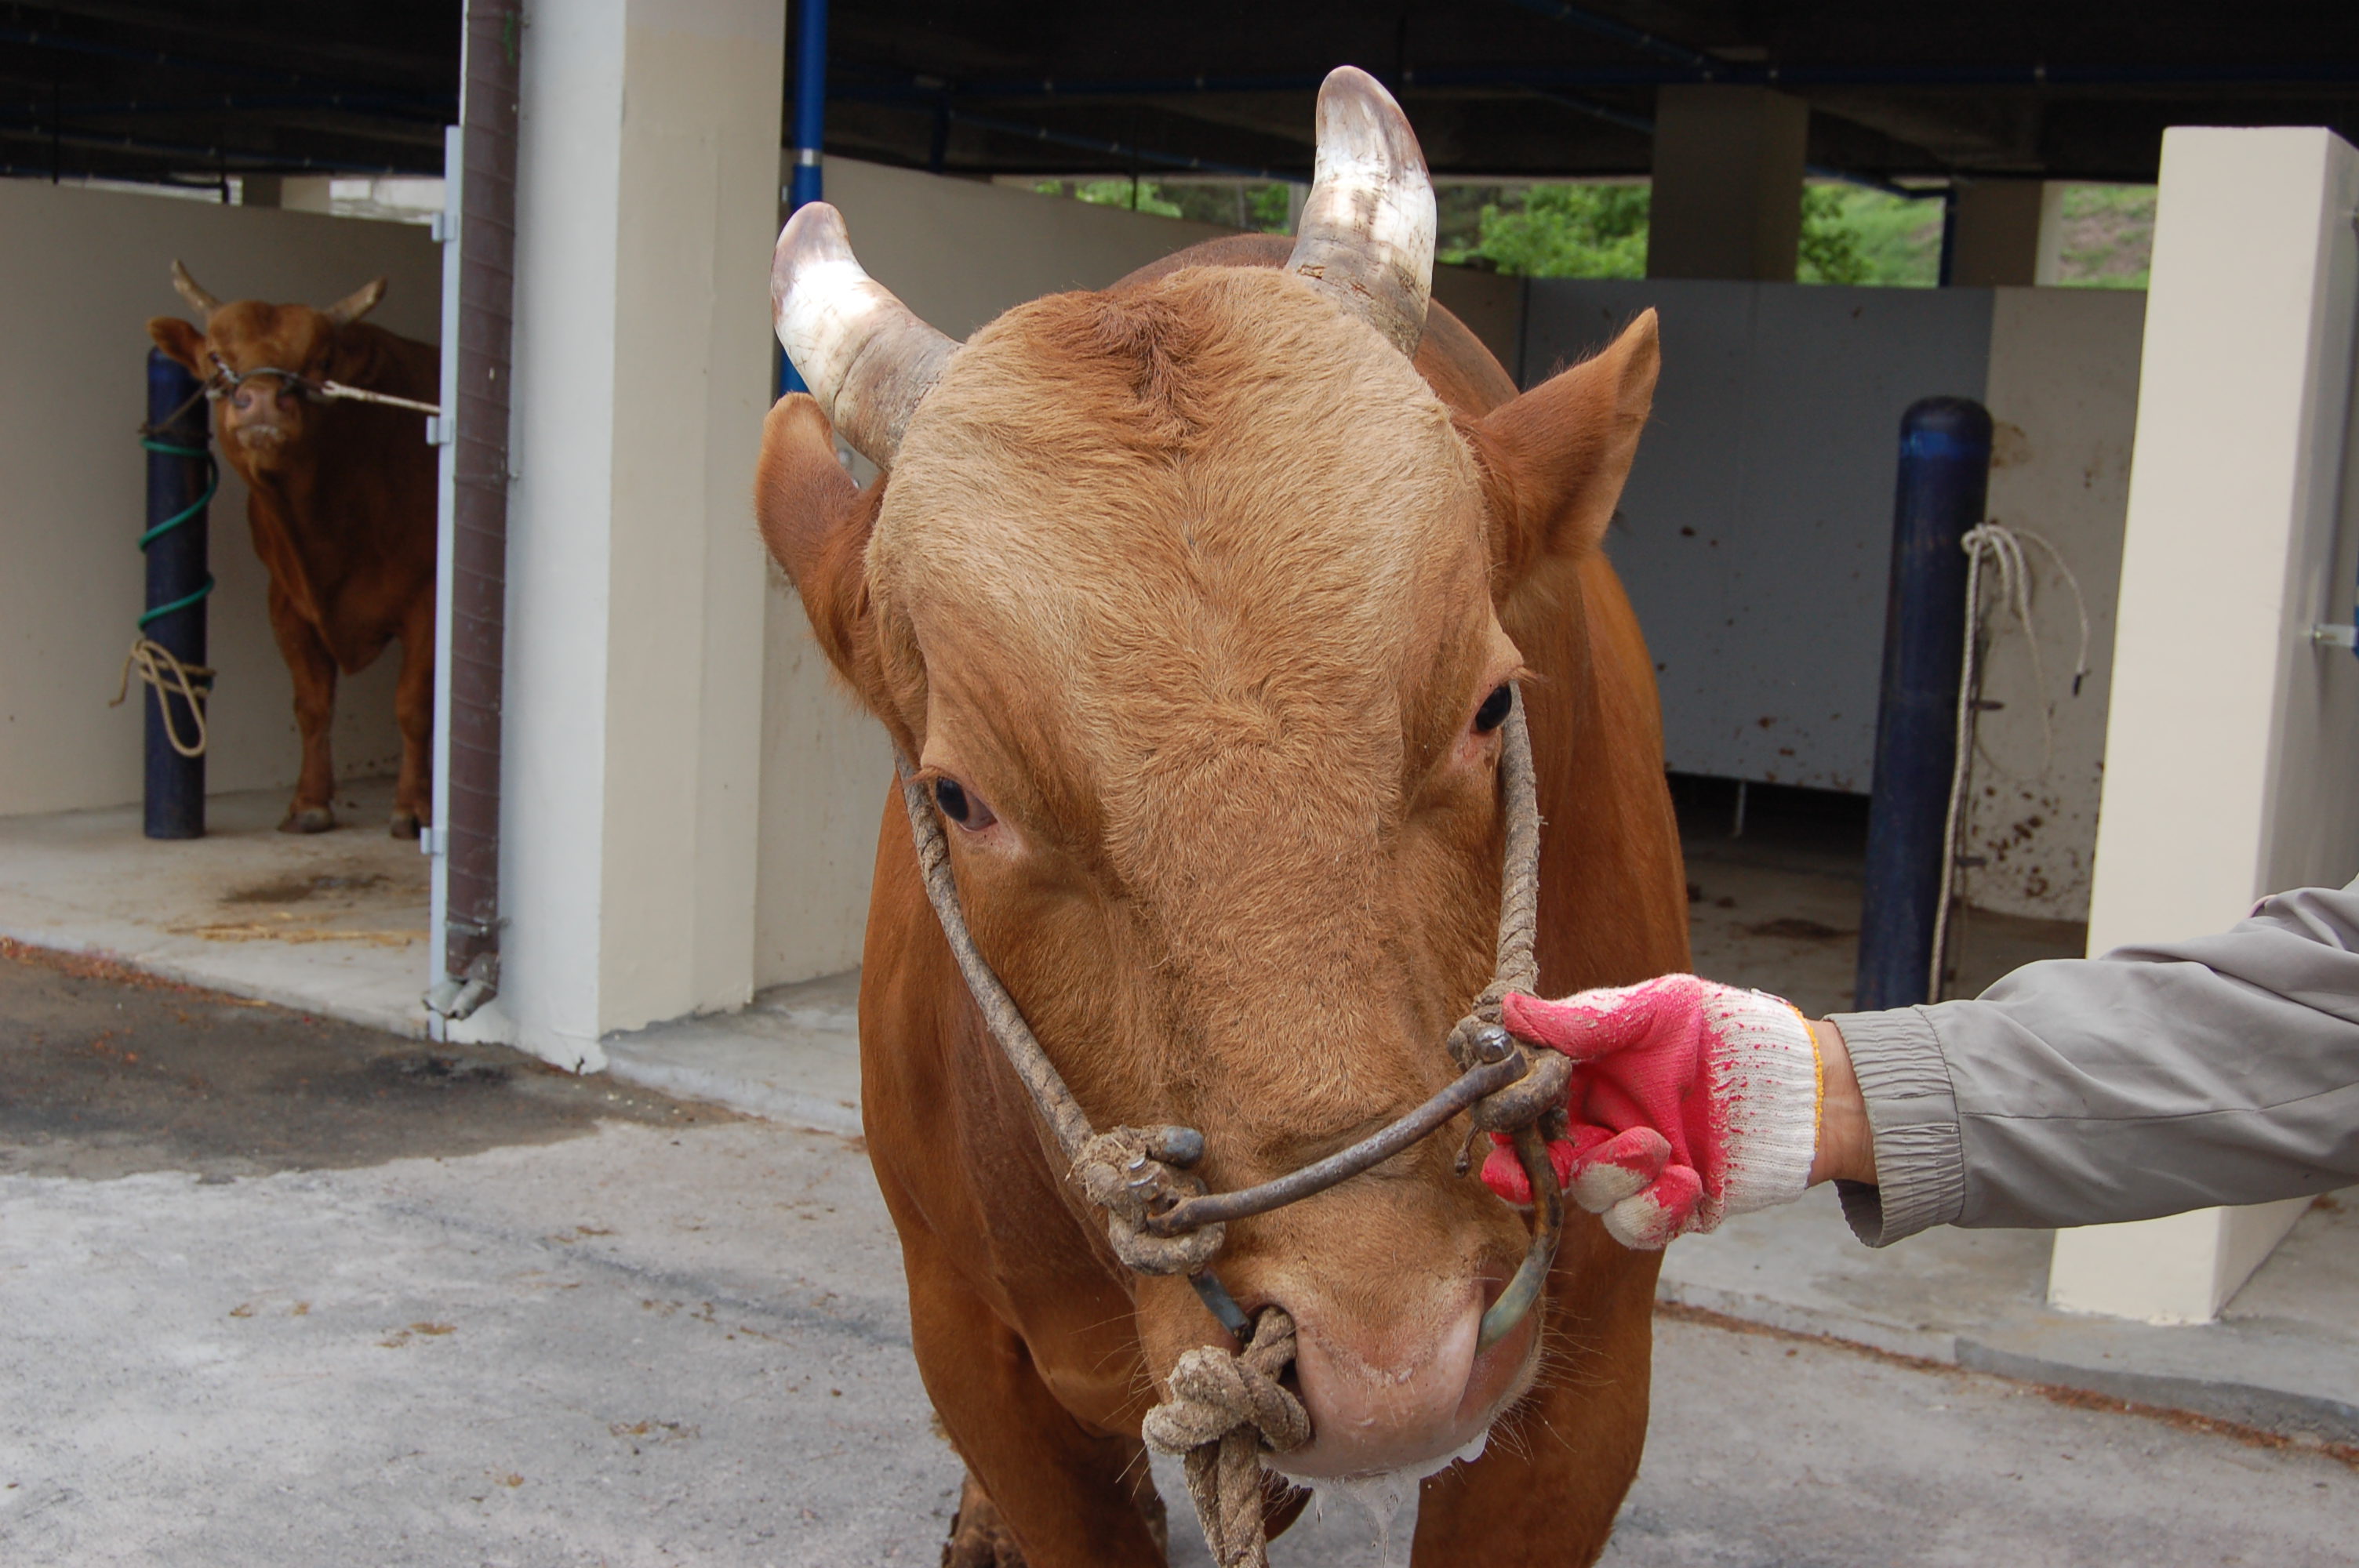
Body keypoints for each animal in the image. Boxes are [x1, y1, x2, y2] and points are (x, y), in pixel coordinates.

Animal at [148, 263, 443, 839]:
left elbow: (413, 704)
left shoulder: (428, 597)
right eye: (215, 356)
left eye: (321, 362)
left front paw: (413, 809)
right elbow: (311, 704)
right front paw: (309, 803)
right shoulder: (286, 599)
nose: (262, 401)